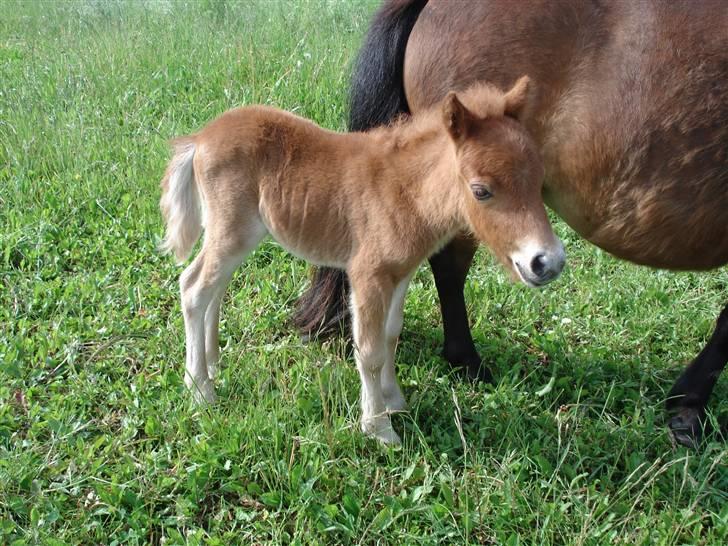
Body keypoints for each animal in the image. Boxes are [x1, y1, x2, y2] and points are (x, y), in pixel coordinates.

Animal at [162, 76, 564, 442]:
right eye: (481, 190)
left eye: (540, 180)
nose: (548, 262)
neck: (405, 191)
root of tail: (201, 137)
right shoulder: (367, 275)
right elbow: (369, 351)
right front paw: (379, 428)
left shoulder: (400, 273)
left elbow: (390, 335)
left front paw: (395, 401)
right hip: (232, 230)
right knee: (193, 287)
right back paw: (200, 390)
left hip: (241, 235)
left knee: (215, 289)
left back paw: (212, 364)